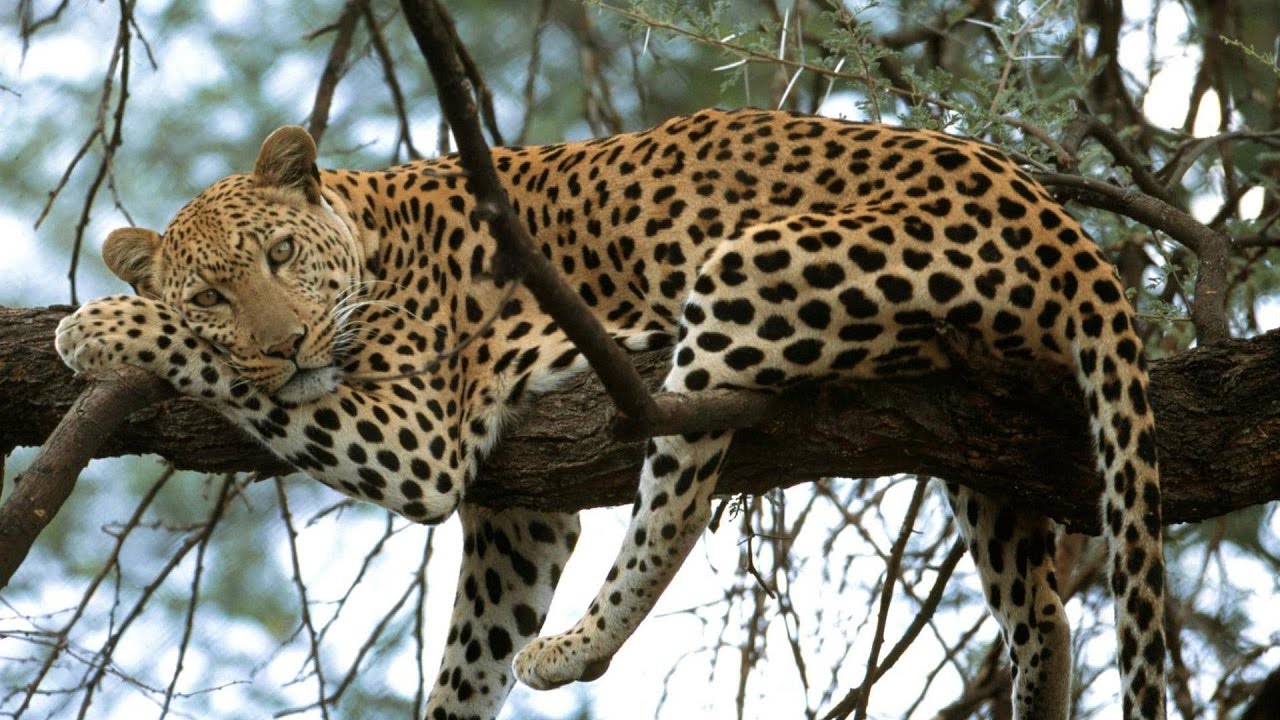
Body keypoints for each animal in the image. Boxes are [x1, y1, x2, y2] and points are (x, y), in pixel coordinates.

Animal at [55, 108, 1166, 719]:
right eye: (214, 293)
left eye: (281, 256)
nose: (285, 343)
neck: (370, 232)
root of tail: (1062, 224)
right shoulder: (518, 518)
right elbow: (468, 662)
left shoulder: (417, 438)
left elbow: (229, 379)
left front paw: (99, 325)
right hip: (984, 440)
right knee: (1041, 603)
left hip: (744, 271)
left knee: (677, 497)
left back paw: (576, 647)